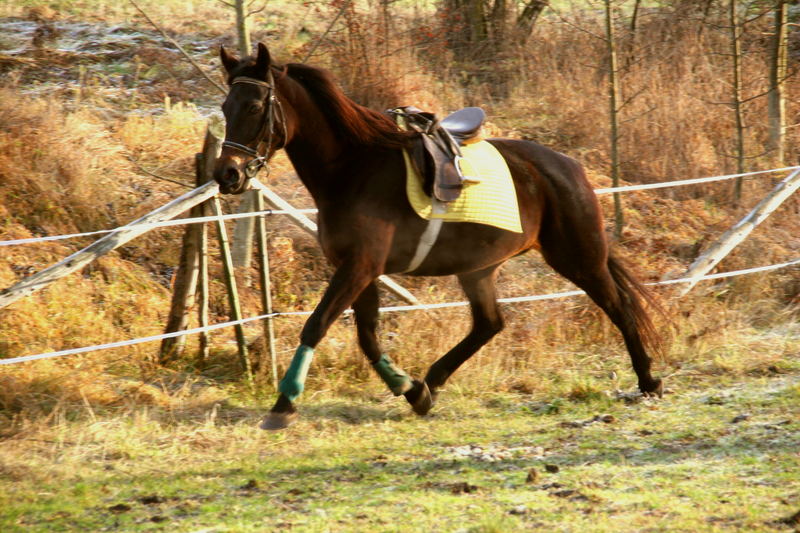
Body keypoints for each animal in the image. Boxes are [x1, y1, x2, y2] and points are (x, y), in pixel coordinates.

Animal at [212, 42, 664, 428]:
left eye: (254, 106)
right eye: (224, 106)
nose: (227, 175)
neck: (354, 170)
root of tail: (569, 166)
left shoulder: (360, 267)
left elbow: (318, 325)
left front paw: (284, 404)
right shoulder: (361, 269)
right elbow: (368, 336)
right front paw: (412, 391)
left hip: (578, 259)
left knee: (618, 307)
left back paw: (648, 381)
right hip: (479, 268)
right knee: (489, 324)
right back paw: (433, 380)